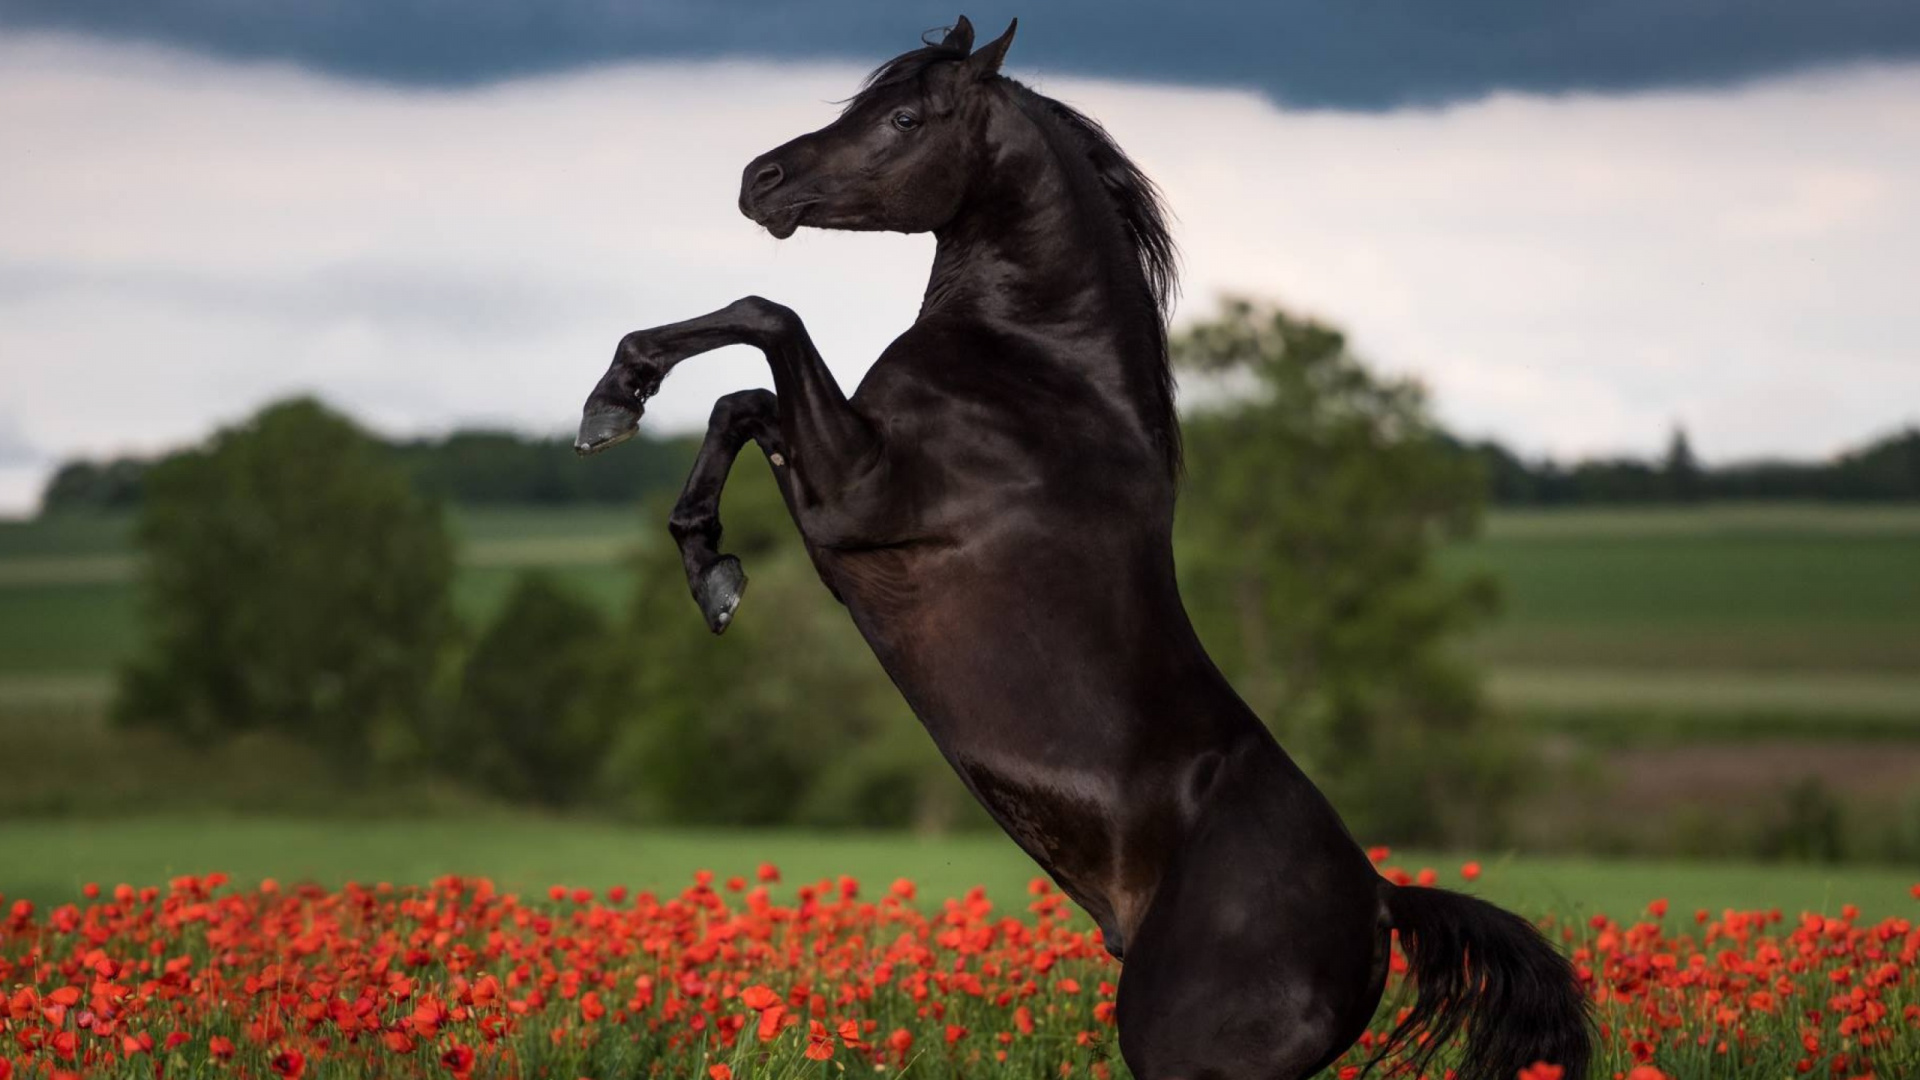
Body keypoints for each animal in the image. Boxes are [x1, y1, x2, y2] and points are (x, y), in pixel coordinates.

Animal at [572, 18, 1589, 1076]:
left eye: (904, 117)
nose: (758, 178)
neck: (1038, 369)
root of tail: (1383, 904)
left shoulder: (854, 494)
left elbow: (768, 322)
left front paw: (619, 397)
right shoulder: (828, 463)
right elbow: (742, 401)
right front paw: (705, 560)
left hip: (1182, 1049)